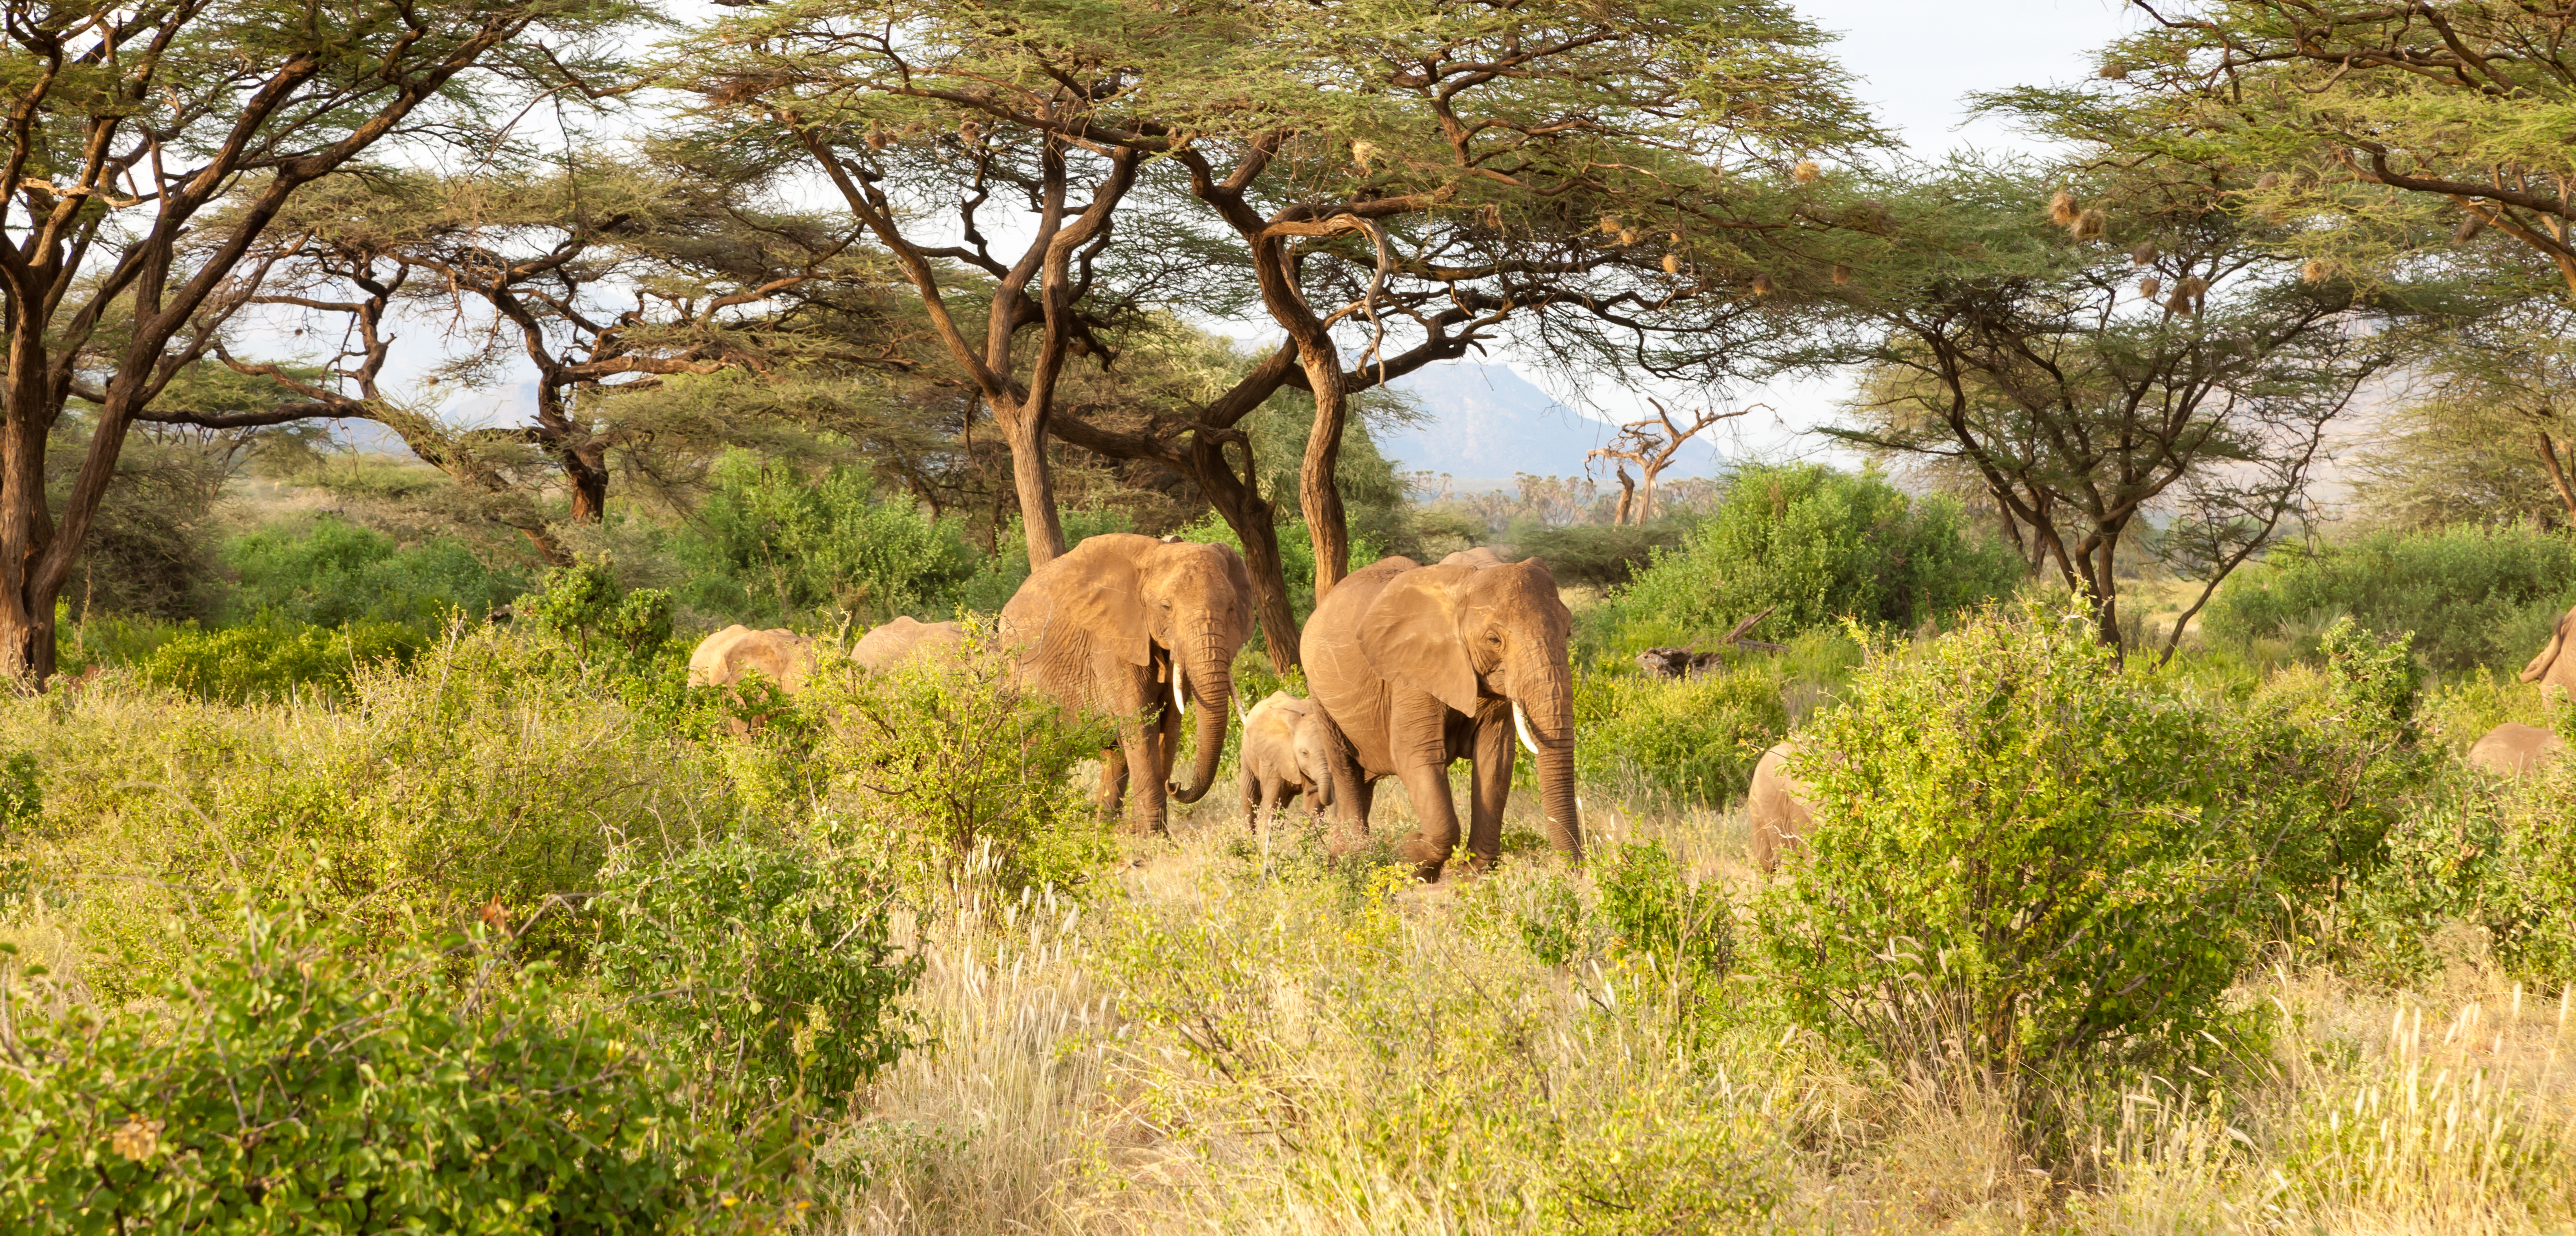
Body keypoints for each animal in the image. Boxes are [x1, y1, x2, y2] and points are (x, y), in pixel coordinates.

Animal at [1000, 533, 1256, 835]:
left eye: (1231, 608)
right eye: (1166, 607)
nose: (1175, 784)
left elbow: (1170, 724)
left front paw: (1151, 834)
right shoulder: (1113, 644)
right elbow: (1141, 722)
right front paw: (1151, 836)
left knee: (1114, 753)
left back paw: (1103, 830)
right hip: (1018, 672)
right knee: (1038, 745)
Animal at [1239, 691, 1333, 833]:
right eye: (1304, 753)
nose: (1310, 790)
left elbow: (1313, 805)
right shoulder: (1273, 758)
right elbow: (1272, 802)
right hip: (1248, 753)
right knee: (1250, 797)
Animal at [1301, 553, 1580, 877]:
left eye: (1567, 632)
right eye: (1494, 640)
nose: (1573, 869)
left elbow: (1495, 757)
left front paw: (1470, 872)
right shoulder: (1412, 670)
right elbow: (1415, 753)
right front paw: (1410, 855)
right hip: (1320, 695)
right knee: (1345, 769)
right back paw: (1352, 860)